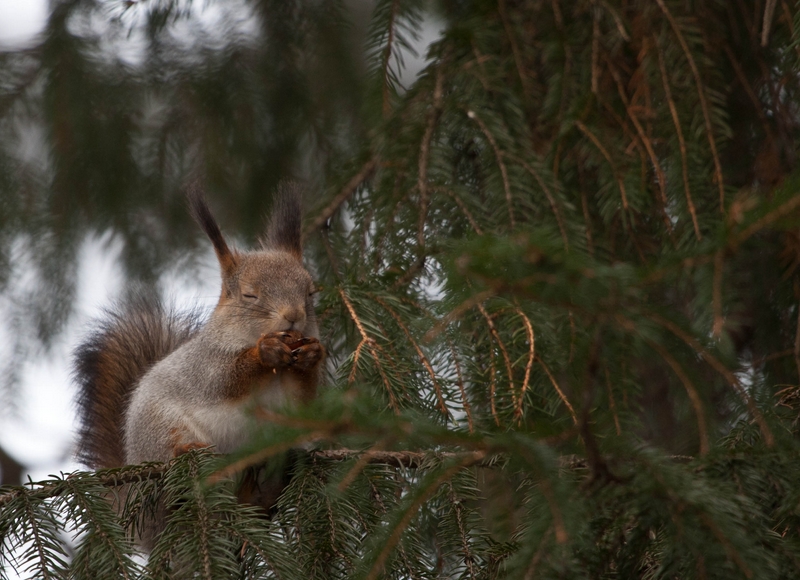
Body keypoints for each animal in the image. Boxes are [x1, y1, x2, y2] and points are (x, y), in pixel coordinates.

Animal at [74, 182, 324, 524]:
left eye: (310, 292)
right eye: (249, 295)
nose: (294, 316)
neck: (278, 373)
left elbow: (303, 403)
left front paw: (312, 355)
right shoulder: (204, 365)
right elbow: (225, 380)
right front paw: (264, 352)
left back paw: (262, 490)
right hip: (160, 426)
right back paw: (188, 453)